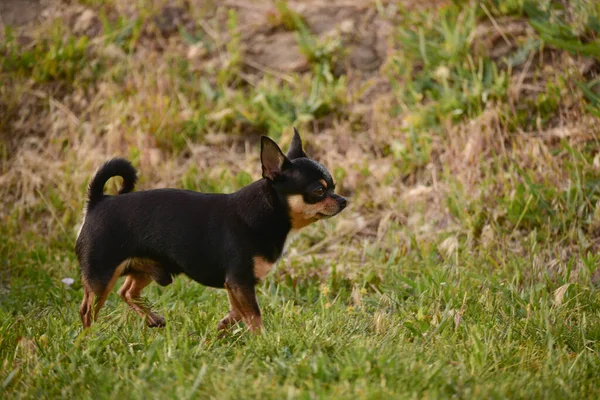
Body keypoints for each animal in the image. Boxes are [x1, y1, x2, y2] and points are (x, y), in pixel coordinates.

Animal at [76, 128, 346, 332]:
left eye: (333, 186)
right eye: (319, 191)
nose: (343, 200)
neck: (268, 213)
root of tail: (98, 201)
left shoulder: (235, 285)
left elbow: (238, 312)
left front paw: (222, 328)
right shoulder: (239, 281)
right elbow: (254, 315)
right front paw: (262, 341)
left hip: (145, 268)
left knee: (126, 291)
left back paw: (152, 319)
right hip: (101, 276)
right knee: (88, 310)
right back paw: (89, 338)